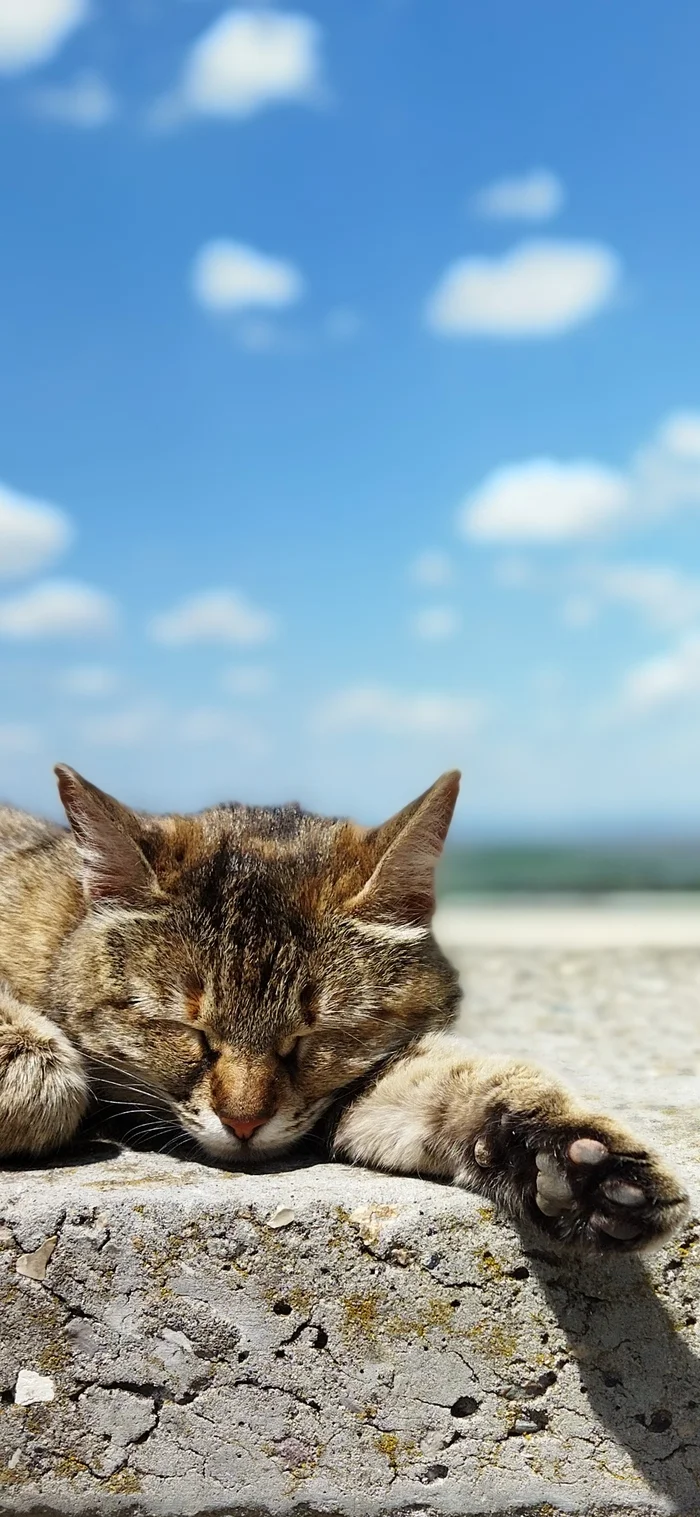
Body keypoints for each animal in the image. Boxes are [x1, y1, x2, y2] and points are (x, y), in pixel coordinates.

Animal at [0, 764, 686, 1250]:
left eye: (312, 1038)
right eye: (188, 1031)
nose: (243, 1124)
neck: (60, 925)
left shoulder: (361, 1085)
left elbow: (462, 1083)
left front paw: (579, 1164)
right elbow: (48, 1074)